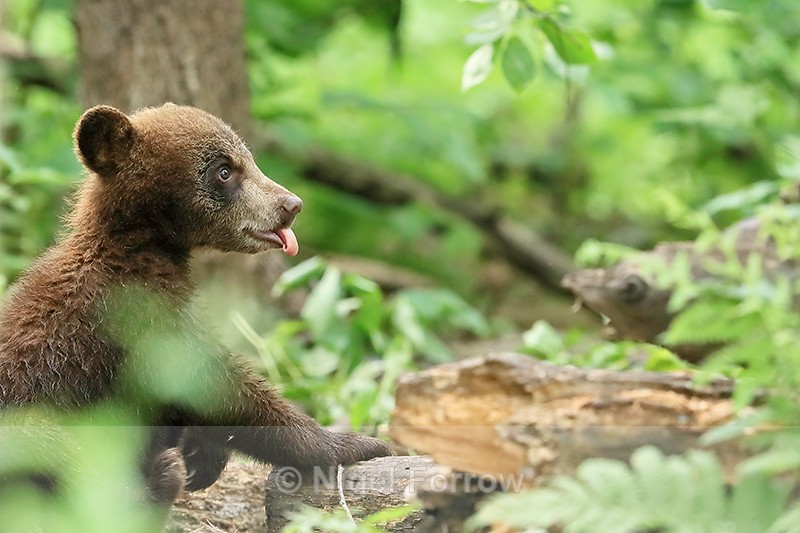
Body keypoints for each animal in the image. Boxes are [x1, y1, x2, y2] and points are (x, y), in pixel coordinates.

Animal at [0, 103, 390, 505]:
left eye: (249, 158)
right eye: (224, 170)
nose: (290, 204)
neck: (141, 252)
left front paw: (204, 454)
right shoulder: (141, 317)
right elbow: (216, 386)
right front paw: (353, 442)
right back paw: (159, 481)